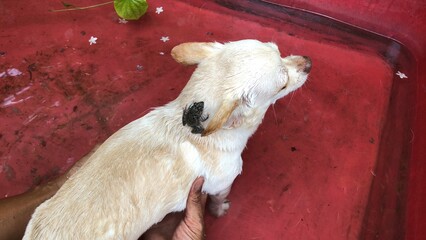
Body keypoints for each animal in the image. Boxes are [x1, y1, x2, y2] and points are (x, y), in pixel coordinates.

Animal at [23, 39, 312, 238]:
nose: (309, 62)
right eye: (282, 84)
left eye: (278, 49)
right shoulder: (221, 184)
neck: (185, 119)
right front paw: (219, 210)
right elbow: (219, 198)